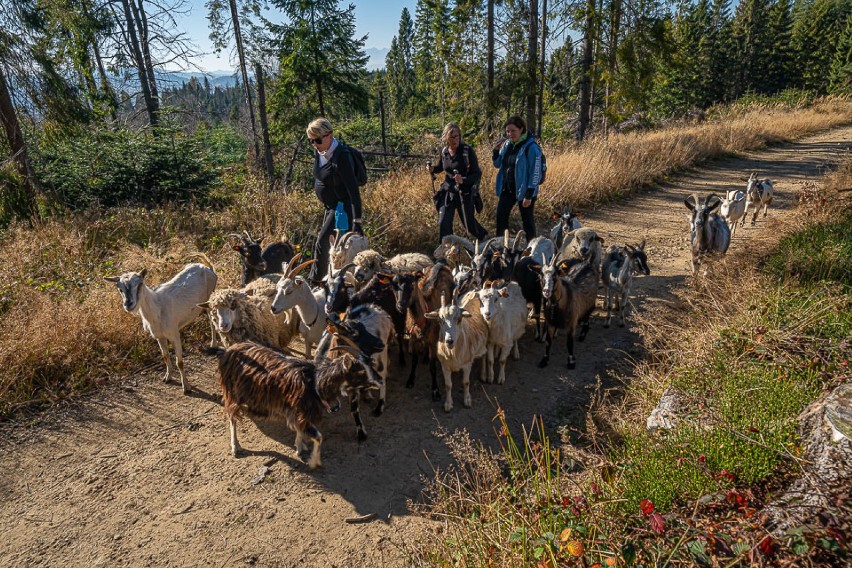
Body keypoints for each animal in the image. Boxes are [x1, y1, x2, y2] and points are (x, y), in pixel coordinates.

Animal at [103, 260, 218, 390]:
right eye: (120, 289)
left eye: (140, 284)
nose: (128, 304)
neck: (158, 308)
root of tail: (207, 267)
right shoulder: (159, 336)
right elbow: (165, 356)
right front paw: (167, 378)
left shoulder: (174, 335)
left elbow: (180, 362)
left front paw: (186, 387)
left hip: (209, 299)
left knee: (212, 321)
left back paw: (213, 345)